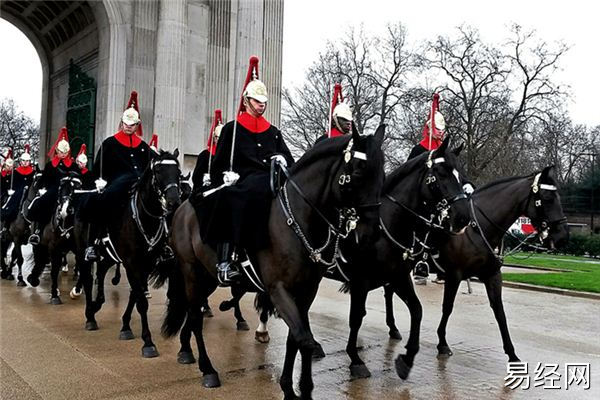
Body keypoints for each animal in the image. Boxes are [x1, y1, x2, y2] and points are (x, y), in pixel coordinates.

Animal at [77, 151, 180, 360]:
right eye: (159, 170)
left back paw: (97, 304)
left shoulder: (146, 264)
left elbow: (136, 294)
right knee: (87, 279)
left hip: (110, 255)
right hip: (85, 253)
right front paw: (148, 342)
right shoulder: (132, 263)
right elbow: (141, 300)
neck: (145, 218)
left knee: (101, 271)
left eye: (178, 171)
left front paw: (125, 326)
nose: (174, 200)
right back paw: (90, 315)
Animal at [157, 126, 386, 398]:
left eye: (383, 173)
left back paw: (186, 350)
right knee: (194, 316)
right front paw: (298, 389)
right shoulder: (279, 290)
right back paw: (208, 369)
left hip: (208, 277)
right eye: (359, 173)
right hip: (191, 272)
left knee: (193, 313)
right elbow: (304, 339)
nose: (371, 233)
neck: (299, 218)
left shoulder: (306, 291)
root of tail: (182, 207)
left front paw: (293, 385)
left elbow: (296, 338)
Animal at [382, 166, 568, 362]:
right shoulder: (454, 275)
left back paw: (393, 329)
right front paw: (442, 344)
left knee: (389, 291)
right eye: (547, 198)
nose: (563, 236)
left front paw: (512, 353)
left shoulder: (492, 275)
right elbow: (447, 308)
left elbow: (500, 312)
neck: (477, 228)